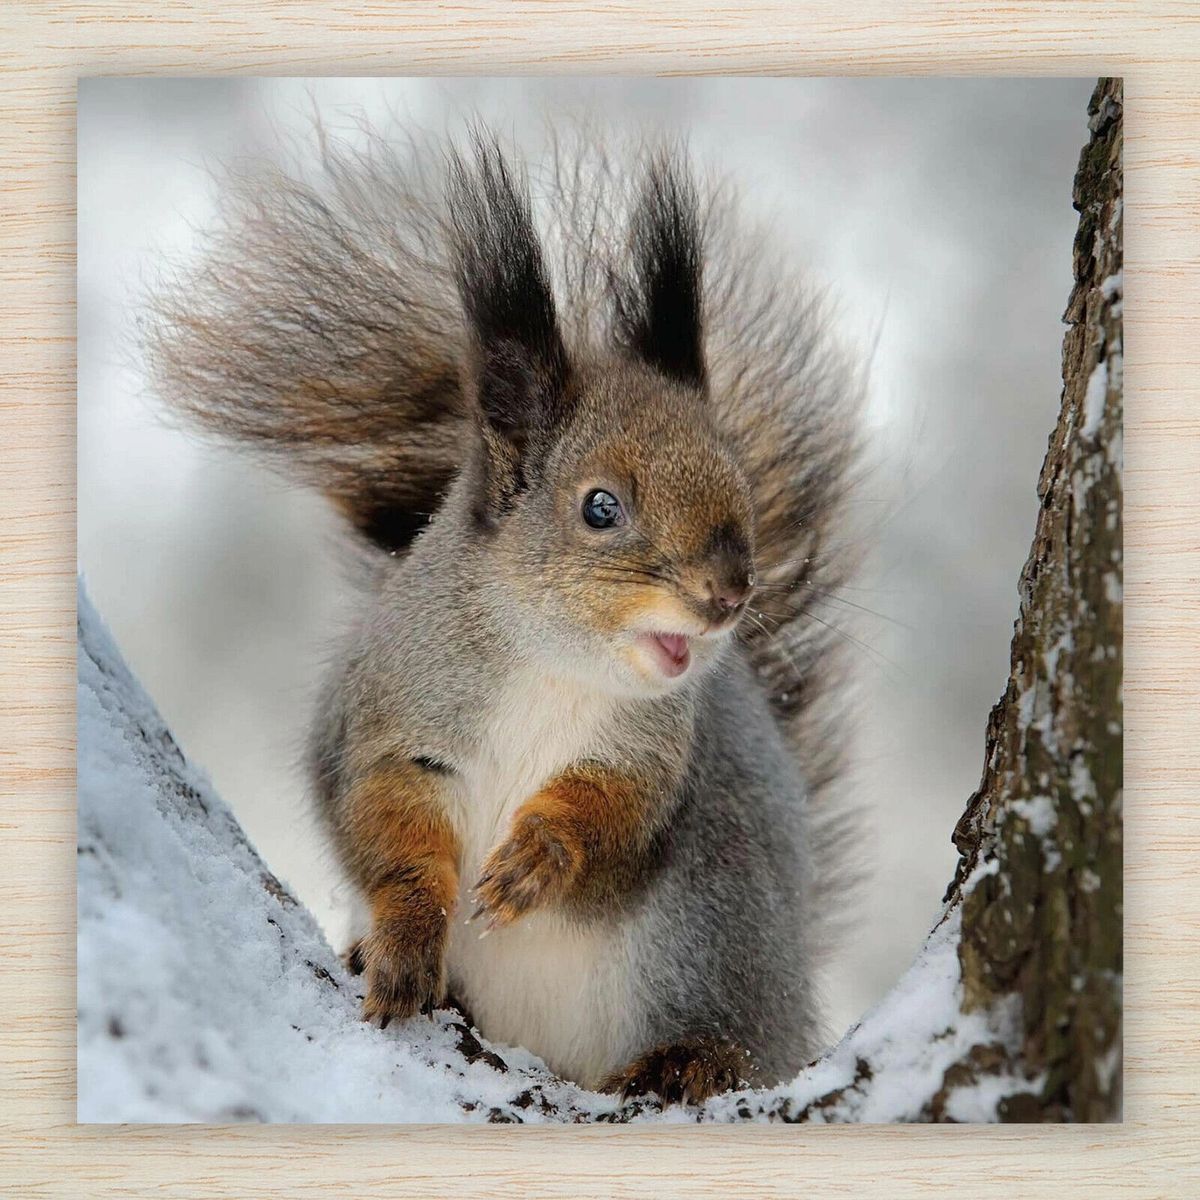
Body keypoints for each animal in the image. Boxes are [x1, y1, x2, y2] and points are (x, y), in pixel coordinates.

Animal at [146, 123, 862, 1104]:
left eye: (740, 486)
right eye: (600, 507)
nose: (729, 593)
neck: (549, 664)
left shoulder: (646, 755)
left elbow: (611, 821)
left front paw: (538, 860)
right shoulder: (394, 716)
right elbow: (389, 830)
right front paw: (406, 940)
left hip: (715, 935)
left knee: (732, 1033)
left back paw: (691, 1060)